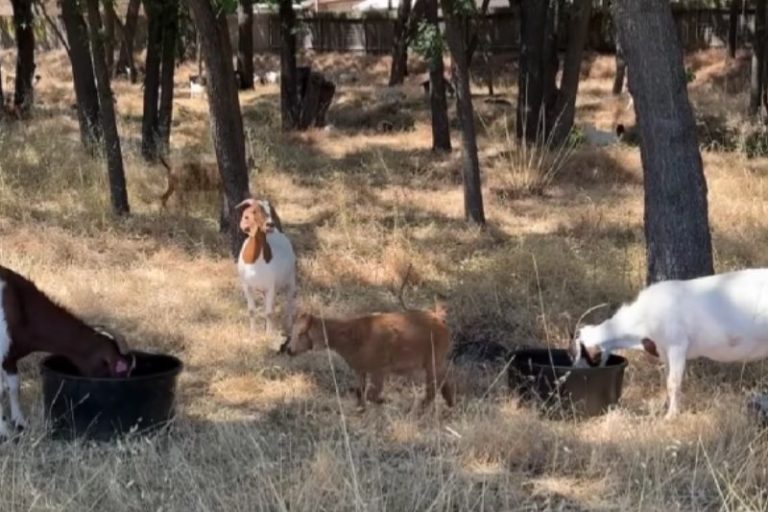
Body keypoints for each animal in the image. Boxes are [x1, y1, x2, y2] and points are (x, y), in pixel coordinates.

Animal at [236, 198, 297, 349]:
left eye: (271, 211)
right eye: (253, 211)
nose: (270, 224)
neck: (254, 262)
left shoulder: (271, 287)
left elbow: (269, 312)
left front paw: (268, 335)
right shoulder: (247, 286)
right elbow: (252, 310)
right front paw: (253, 334)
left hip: (291, 280)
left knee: (289, 303)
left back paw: (287, 327)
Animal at [285, 302, 454, 411]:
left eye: (301, 333)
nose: (289, 350)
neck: (353, 337)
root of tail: (439, 319)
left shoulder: (378, 370)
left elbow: (372, 395)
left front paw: (383, 401)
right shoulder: (360, 370)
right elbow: (360, 391)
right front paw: (361, 408)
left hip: (433, 361)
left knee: (433, 386)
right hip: (439, 361)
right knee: (445, 380)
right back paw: (449, 404)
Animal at [574, 268, 768, 419]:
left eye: (585, 353)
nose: (576, 371)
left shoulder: (677, 346)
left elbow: (673, 382)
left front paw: (671, 415)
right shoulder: (665, 351)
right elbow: (667, 380)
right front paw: (665, 408)